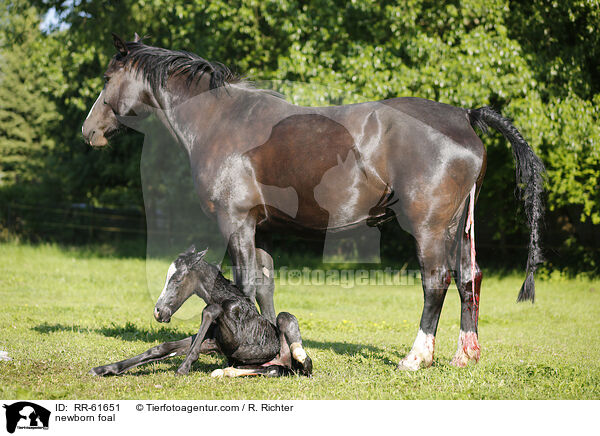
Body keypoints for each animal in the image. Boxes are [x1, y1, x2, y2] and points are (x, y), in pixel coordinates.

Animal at [92, 247, 314, 376]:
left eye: (177, 279)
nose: (158, 312)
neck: (230, 300)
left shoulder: (236, 342)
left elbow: (209, 309)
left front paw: (185, 366)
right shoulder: (212, 342)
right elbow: (161, 348)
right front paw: (105, 369)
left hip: (285, 326)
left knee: (302, 361)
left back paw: (300, 355)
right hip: (260, 364)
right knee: (271, 370)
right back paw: (225, 371)